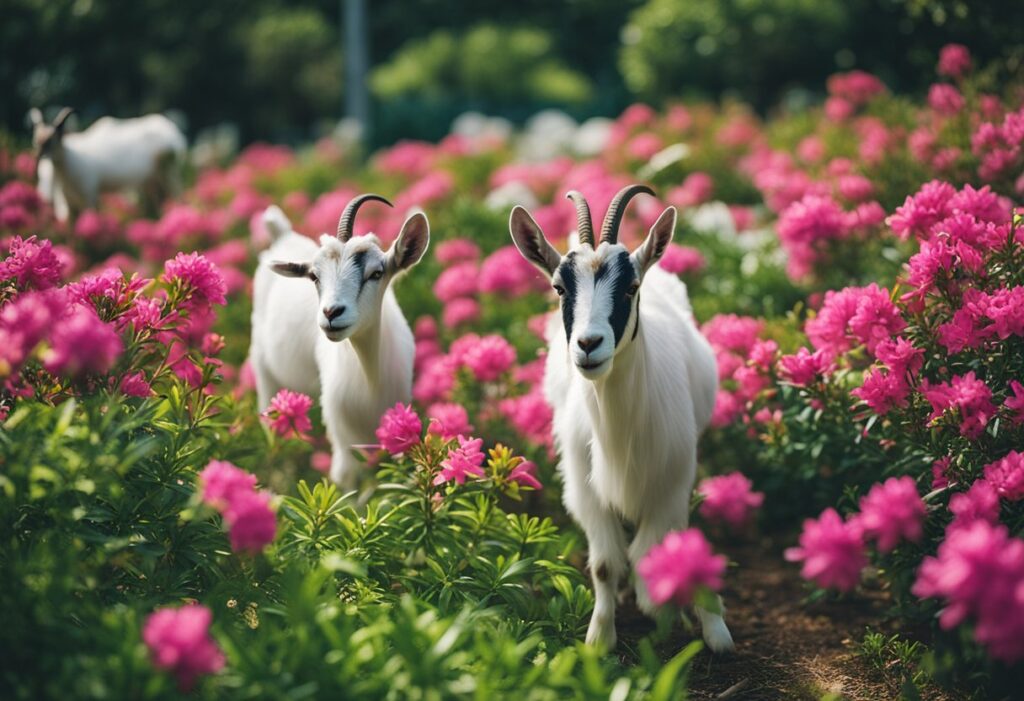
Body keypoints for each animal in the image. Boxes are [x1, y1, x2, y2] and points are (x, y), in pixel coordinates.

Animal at [29, 107, 186, 221]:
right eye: (35, 141)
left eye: (52, 141)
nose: (39, 157)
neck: (72, 157)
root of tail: (174, 134)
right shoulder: (69, 204)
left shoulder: (90, 195)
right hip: (151, 180)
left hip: (169, 171)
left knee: (177, 195)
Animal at [250, 195, 429, 491]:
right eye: (314, 276)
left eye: (376, 273)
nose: (331, 313)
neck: (370, 376)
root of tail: (282, 234)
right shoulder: (343, 436)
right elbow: (347, 484)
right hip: (264, 370)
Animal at [508, 185, 734, 652]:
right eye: (559, 287)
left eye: (630, 286)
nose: (589, 344)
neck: (619, 428)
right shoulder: (585, 488)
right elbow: (606, 565)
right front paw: (600, 637)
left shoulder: (671, 482)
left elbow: (650, 552)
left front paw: (669, 609)